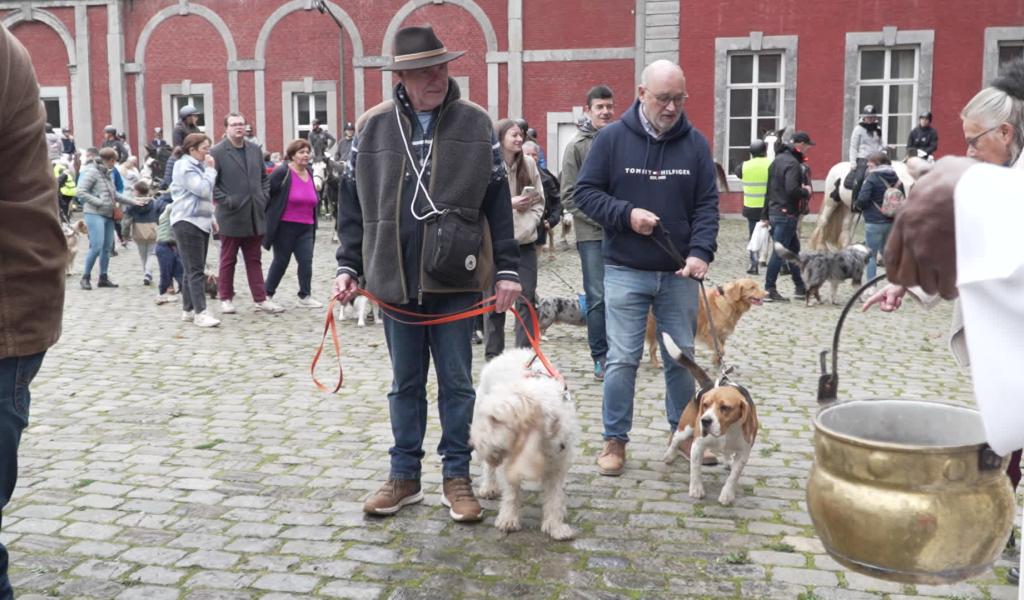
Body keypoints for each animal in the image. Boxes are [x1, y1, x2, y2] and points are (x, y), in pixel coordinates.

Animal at [468, 346, 577, 536]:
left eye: (496, 419)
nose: (472, 443)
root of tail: (506, 353)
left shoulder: (558, 463)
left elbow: (555, 496)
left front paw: (555, 526)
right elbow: (511, 491)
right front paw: (508, 519)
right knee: (489, 466)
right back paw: (489, 486)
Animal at [659, 329, 757, 501]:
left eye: (725, 407)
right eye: (705, 405)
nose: (704, 421)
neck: (726, 431)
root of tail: (708, 384)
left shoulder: (744, 453)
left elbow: (734, 476)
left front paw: (727, 494)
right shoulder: (697, 445)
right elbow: (695, 470)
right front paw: (696, 489)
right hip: (686, 428)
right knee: (676, 439)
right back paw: (669, 456)